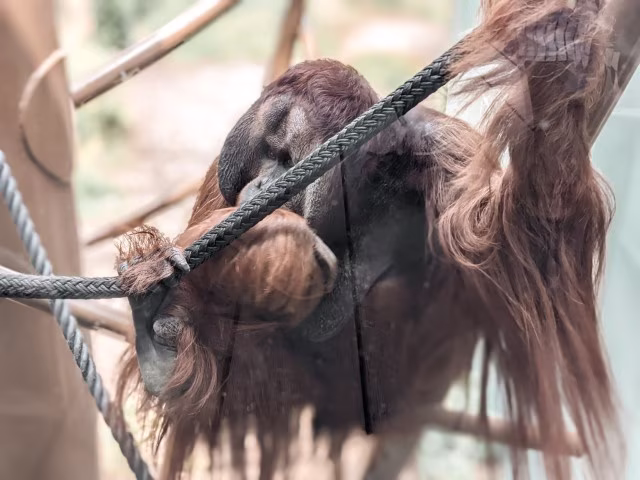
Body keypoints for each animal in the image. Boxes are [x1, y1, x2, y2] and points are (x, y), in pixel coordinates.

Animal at [115, 0, 623, 478]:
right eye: (267, 153)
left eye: (289, 160)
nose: (260, 187)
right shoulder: (218, 187)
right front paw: (166, 268)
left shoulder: (446, 151)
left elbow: (508, 239)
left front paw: (555, 55)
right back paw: (162, 358)